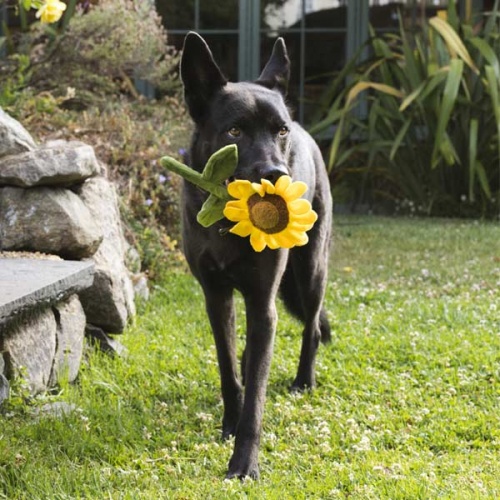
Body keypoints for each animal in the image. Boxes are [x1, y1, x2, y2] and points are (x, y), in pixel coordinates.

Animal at [180, 32, 332, 480]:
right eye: (234, 130)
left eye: (279, 131)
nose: (277, 175)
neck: (230, 220)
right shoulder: (216, 297)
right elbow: (229, 368)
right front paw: (229, 422)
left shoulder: (263, 301)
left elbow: (257, 400)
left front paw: (244, 461)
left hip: (311, 270)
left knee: (311, 327)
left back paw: (303, 381)